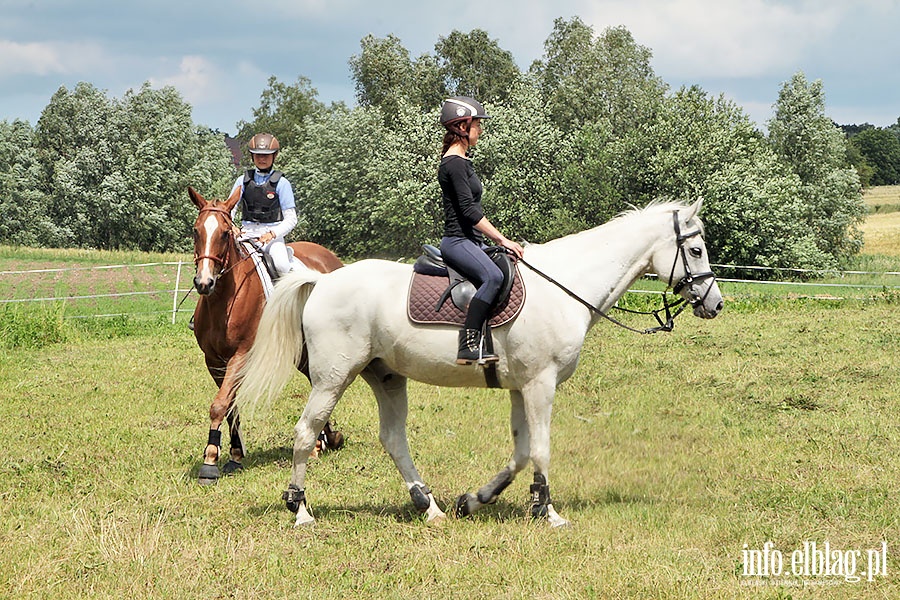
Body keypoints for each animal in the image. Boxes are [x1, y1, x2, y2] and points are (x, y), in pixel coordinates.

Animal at [190, 185, 344, 486]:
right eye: (196, 231)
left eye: (224, 234)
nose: (204, 283)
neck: (224, 299)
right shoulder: (214, 360)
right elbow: (229, 406)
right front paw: (235, 455)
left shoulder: (241, 355)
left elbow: (219, 404)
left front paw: (210, 461)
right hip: (302, 351)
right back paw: (321, 441)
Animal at [237, 198, 724, 524]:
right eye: (696, 250)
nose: (715, 304)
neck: (565, 284)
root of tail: (321, 281)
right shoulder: (541, 384)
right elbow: (541, 449)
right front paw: (548, 512)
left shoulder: (522, 387)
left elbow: (522, 453)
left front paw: (475, 500)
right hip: (333, 378)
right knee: (306, 433)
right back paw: (300, 510)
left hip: (387, 376)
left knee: (393, 438)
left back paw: (430, 506)